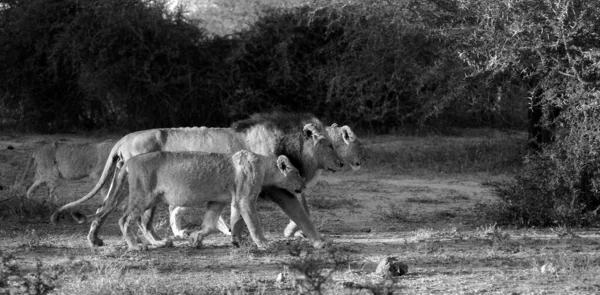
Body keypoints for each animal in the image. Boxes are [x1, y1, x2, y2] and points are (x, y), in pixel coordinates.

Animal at [78, 150, 304, 252]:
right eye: (298, 173)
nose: (303, 185)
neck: (264, 165)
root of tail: (131, 160)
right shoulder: (244, 199)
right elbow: (254, 223)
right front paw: (265, 243)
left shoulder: (217, 201)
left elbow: (210, 224)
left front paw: (195, 238)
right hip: (143, 195)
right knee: (124, 219)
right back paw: (136, 246)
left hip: (147, 197)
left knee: (116, 214)